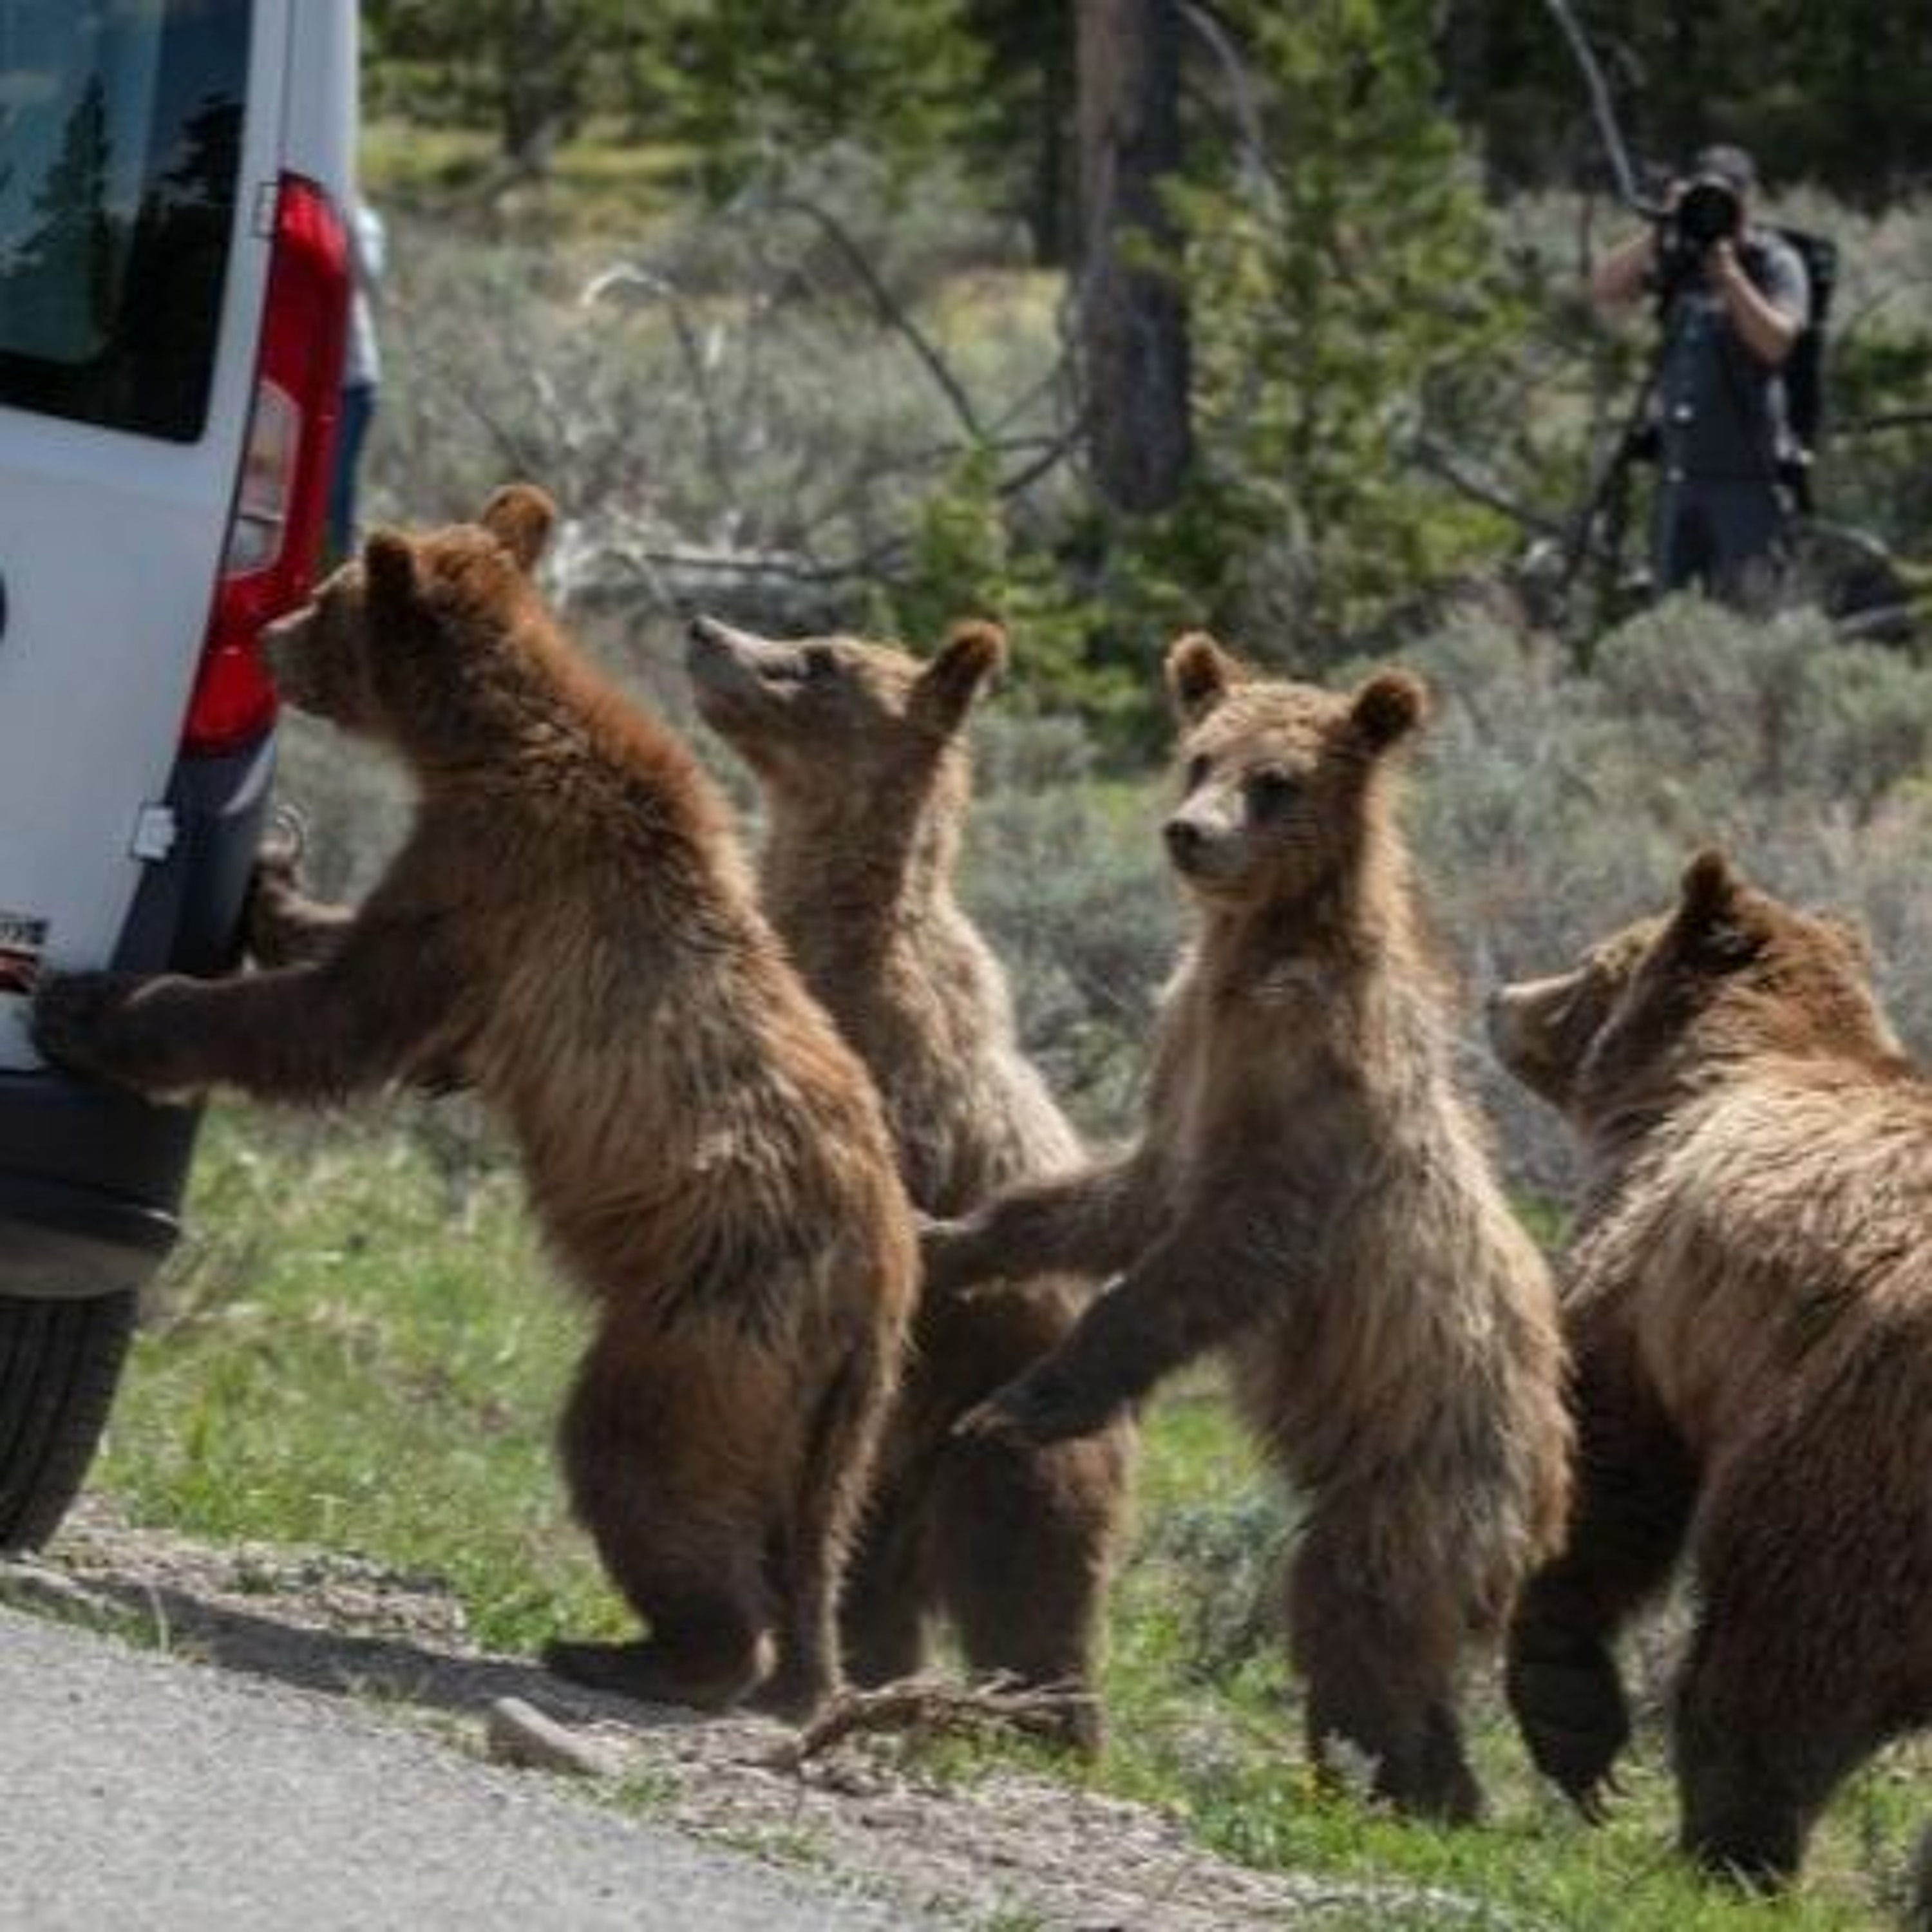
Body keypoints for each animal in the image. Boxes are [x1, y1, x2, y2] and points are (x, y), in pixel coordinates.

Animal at [33, 486, 916, 1722]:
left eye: (328, 598)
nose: (267, 637)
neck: (476, 740)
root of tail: (882, 1277)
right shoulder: (472, 887)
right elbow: (364, 969)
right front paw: (274, 880)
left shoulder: (500, 877)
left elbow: (341, 1016)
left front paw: (94, 1007)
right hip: (827, 1410)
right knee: (809, 1525)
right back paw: (788, 1666)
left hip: (709, 1319)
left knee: (635, 1458)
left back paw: (647, 1654)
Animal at [683, 613, 1132, 1740]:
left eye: (818, 658)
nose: (705, 628)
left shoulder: (900, 1087)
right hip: (901, 1472)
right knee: (876, 1579)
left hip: (993, 1436)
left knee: (1030, 1585)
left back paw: (1045, 1721)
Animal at [922, 633, 1573, 1821]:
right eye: (1199, 755)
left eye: (1277, 781)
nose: (1190, 832)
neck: (1259, 953)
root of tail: (1552, 1487)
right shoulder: (1189, 1046)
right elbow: (1129, 1194)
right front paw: (945, 1235)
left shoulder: (1307, 1079)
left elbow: (1219, 1249)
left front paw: (1017, 1407)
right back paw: (1431, 1787)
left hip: (1420, 1467)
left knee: (1354, 1610)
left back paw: (1379, 1784)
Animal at [1488, 849, 1932, 1886]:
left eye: (1588, 962)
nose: (1499, 997)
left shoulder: (1643, 1279)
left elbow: (1607, 1463)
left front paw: (1571, 1723)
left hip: (1854, 1439)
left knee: (1786, 1648)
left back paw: (1730, 1845)